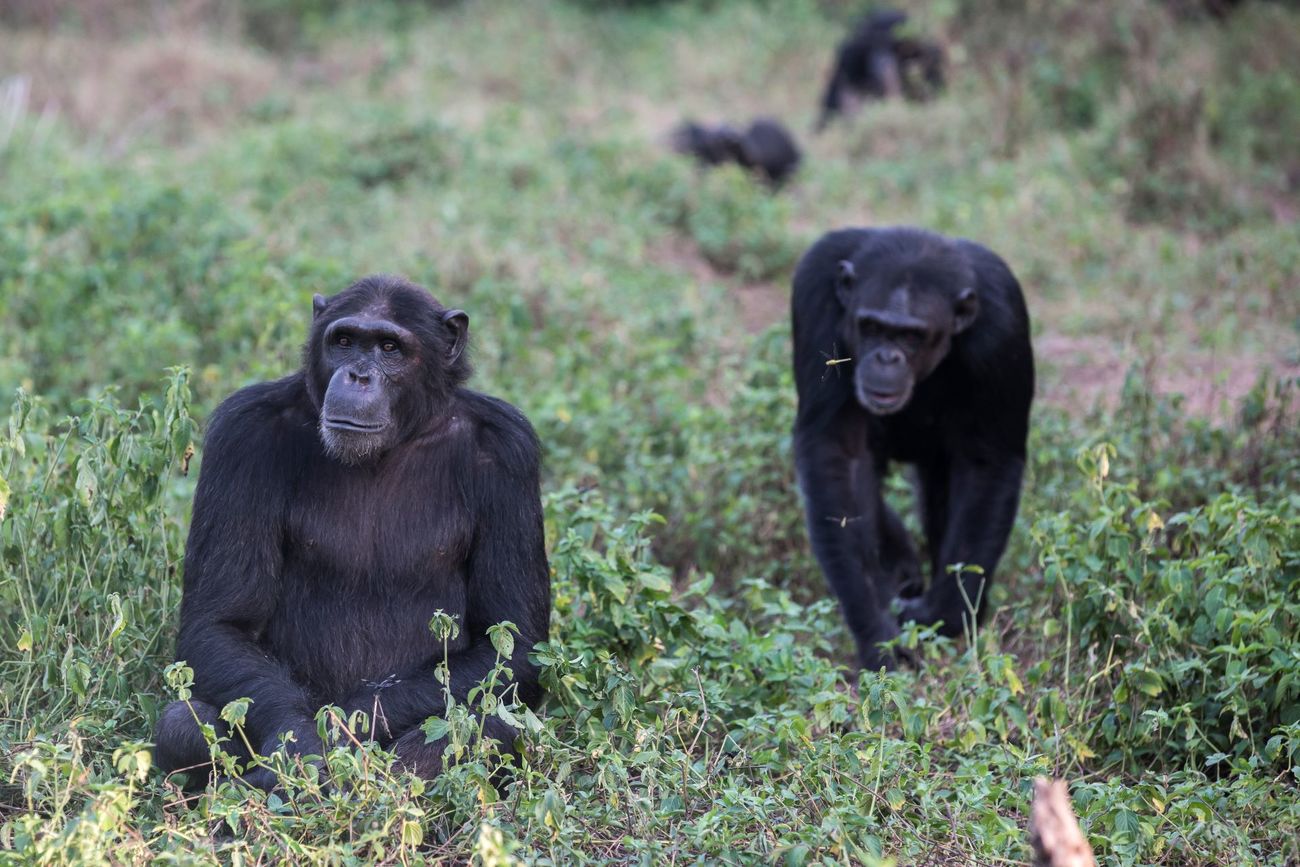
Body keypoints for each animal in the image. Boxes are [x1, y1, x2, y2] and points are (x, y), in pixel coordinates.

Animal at [152, 274, 548, 790]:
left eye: (389, 348)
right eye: (343, 342)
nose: (358, 375)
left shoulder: (509, 451)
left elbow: (512, 644)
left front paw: (341, 738)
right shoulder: (241, 433)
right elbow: (218, 623)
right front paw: (301, 749)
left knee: (494, 723)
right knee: (182, 723)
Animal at [790, 227, 1034, 670]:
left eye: (911, 335)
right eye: (870, 326)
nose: (887, 357)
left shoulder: (1003, 324)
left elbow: (987, 462)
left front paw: (944, 613)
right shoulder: (815, 292)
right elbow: (838, 453)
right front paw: (877, 629)